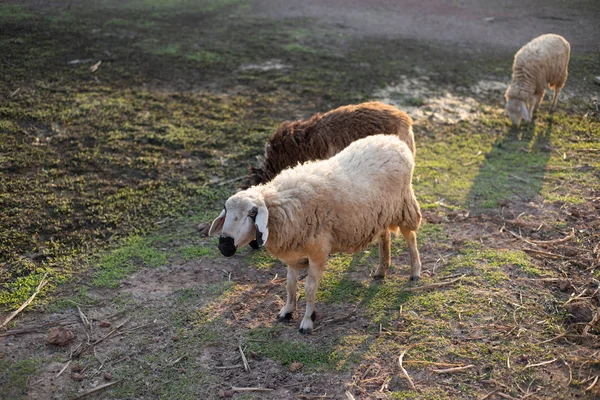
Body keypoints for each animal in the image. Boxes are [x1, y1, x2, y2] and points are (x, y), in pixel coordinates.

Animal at [210, 134, 422, 334]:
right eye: (226, 210)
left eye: (252, 213)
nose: (224, 245)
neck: (284, 206)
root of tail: (393, 140)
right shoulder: (293, 254)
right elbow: (290, 285)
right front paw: (287, 311)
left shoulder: (318, 252)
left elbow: (309, 289)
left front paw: (307, 321)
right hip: (381, 212)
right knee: (384, 235)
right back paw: (381, 269)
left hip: (403, 205)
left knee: (410, 237)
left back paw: (415, 271)